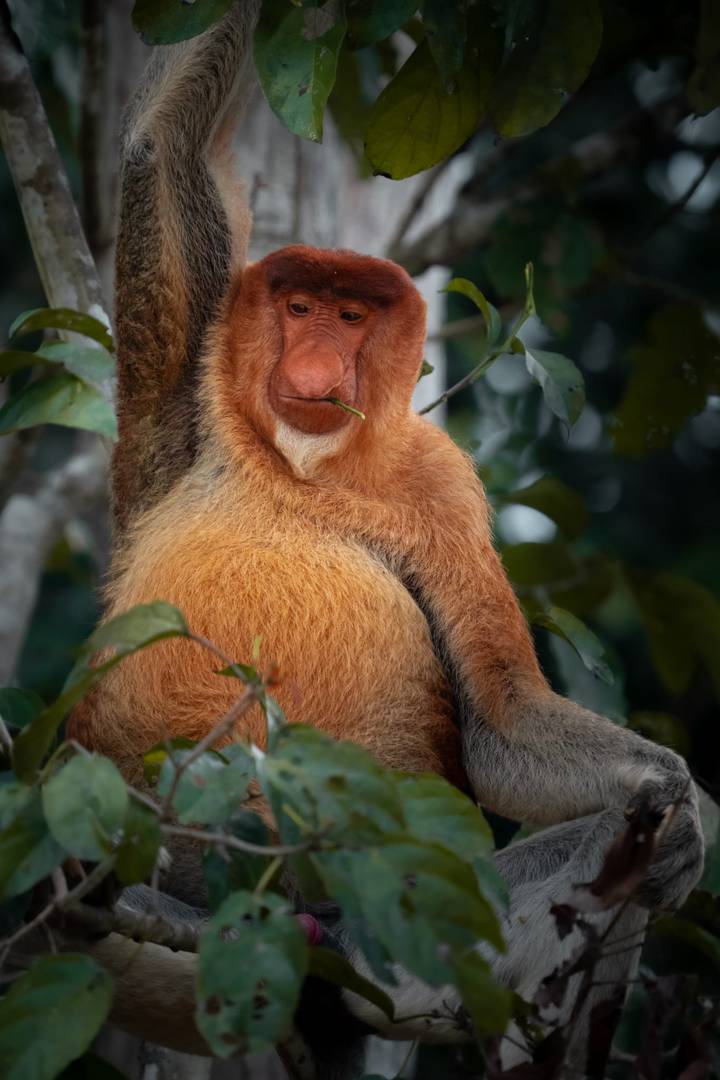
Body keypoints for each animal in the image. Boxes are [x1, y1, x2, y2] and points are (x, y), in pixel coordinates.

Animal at [65, 3, 703, 1075]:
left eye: (353, 316)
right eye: (298, 307)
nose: (319, 358)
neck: (306, 471)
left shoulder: (442, 487)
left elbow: (501, 720)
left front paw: (686, 805)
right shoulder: (191, 403)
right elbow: (161, 149)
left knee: (601, 843)